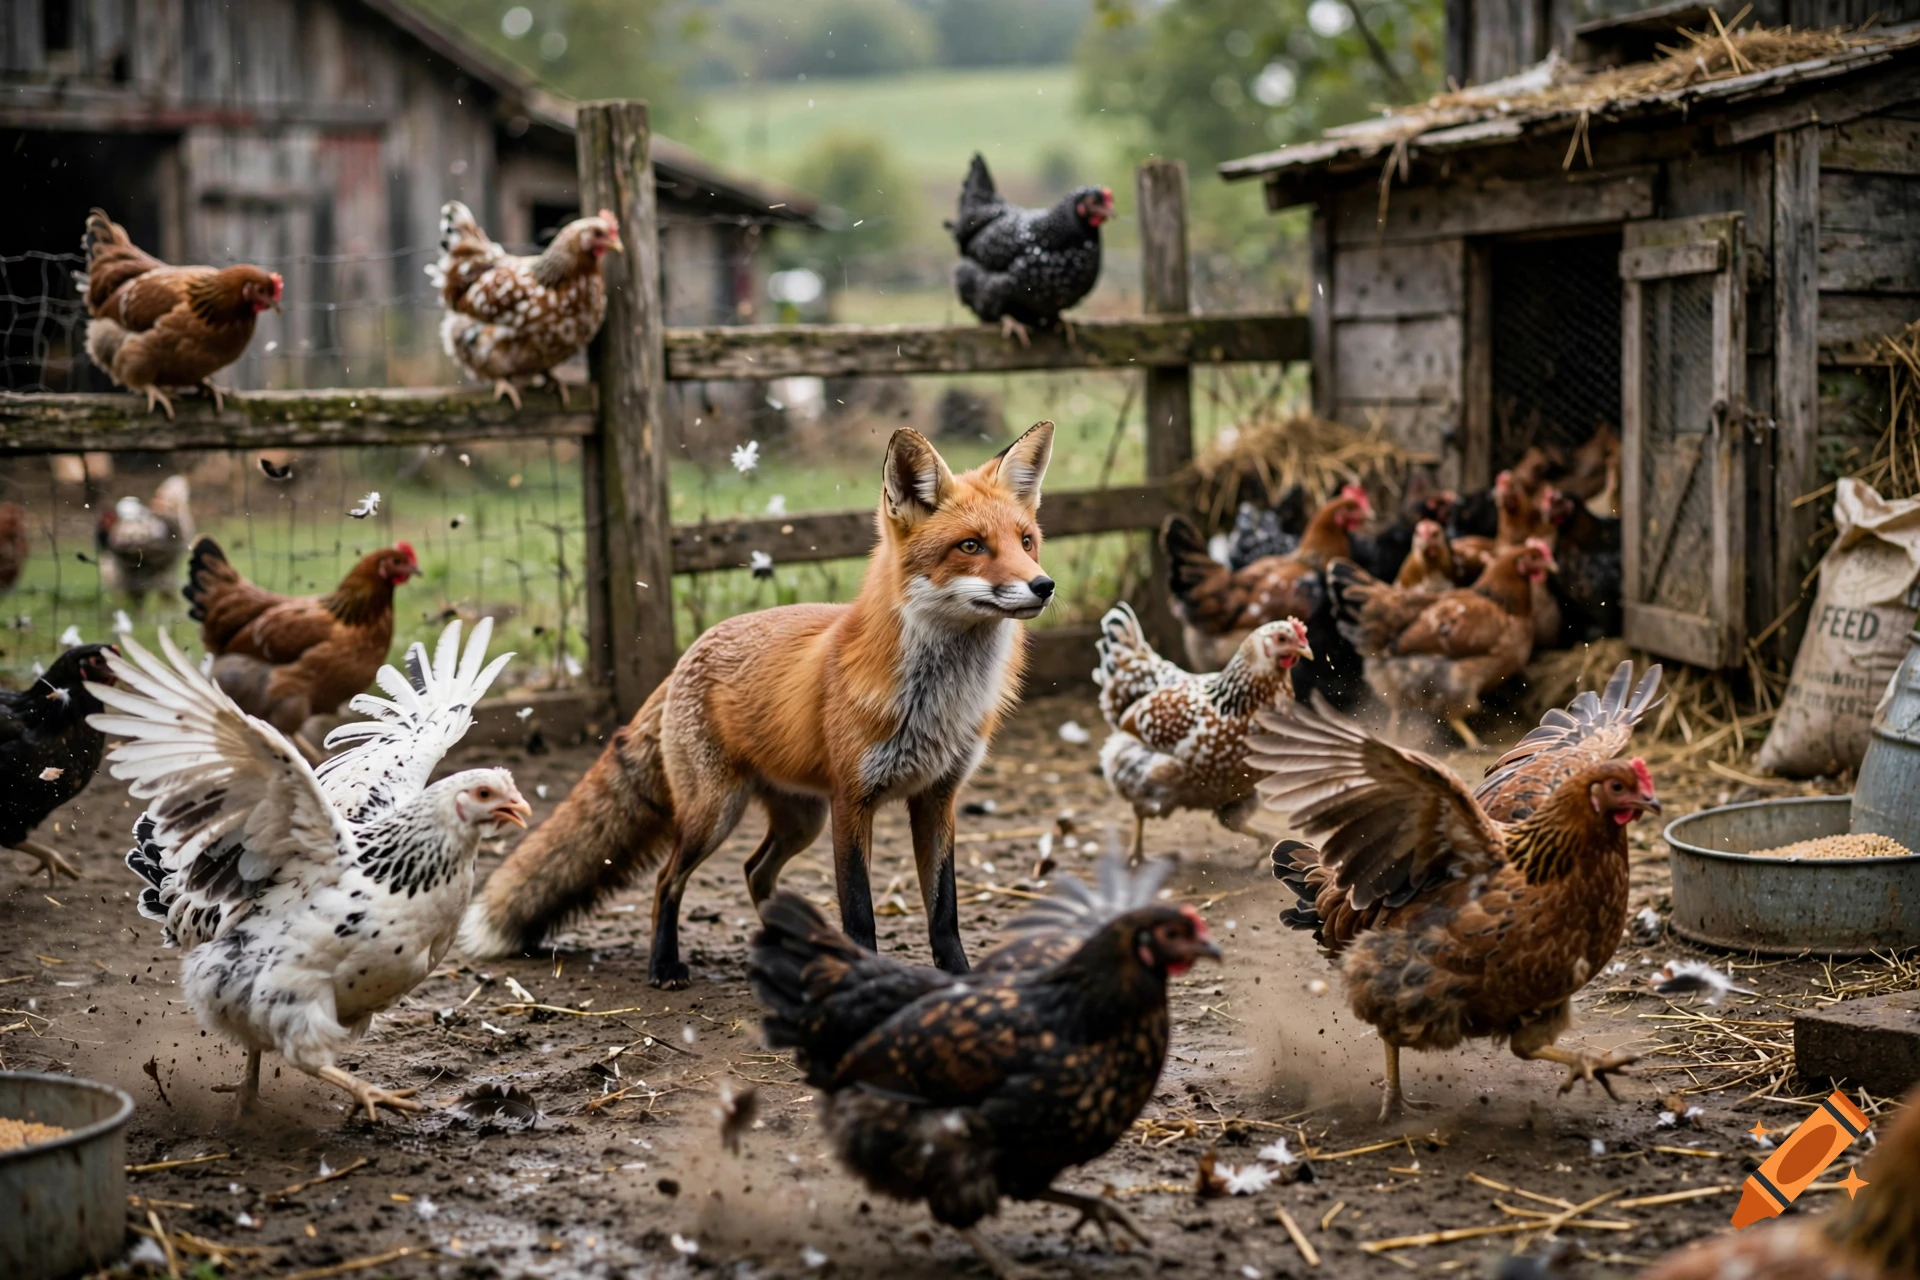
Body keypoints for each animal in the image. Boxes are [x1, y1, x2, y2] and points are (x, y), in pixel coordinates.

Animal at [459, 422, 1057, 987]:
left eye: (1026, 541)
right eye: (972, 546)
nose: (1044, 585)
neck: (935, 701)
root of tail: (689, 653)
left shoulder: (937, 798)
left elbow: (944, 910)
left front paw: (963, 981)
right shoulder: (852, 801)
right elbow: (859, 913)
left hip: (800, 820)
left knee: (754, 871)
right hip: (716, 815)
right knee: (668, 879)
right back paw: (665, 966)